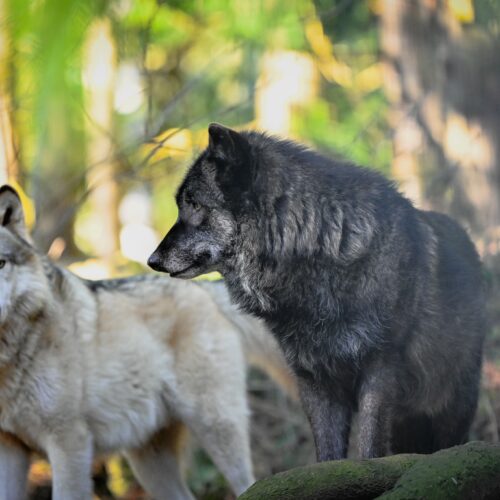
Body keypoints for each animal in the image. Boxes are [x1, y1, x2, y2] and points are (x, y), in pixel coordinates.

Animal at [0, 186, 294, 498]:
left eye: (1, 263)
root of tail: (205, 289)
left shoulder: (69, 441)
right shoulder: (9, 448)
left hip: (217, 428)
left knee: (249, 482)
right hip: (149, 462)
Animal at [148, 125, 484, 460]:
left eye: (194, 204)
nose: (152, 260)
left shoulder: (380, 366)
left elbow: (370, 447)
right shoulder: (313, 378)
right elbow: (328, 454)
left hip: (450, 406)